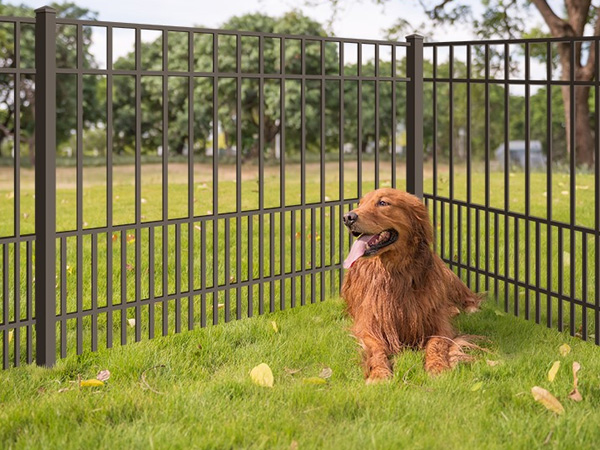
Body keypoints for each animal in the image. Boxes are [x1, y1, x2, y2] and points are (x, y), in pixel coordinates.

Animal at [342, 188, 478, 382]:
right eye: (360, 203)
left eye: (383, 203)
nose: (347, 217)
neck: (397, 272)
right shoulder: (369, 326)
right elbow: (376, 350)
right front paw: (379, 373)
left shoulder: (439, 326)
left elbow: (436, 344)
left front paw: (438, 366)